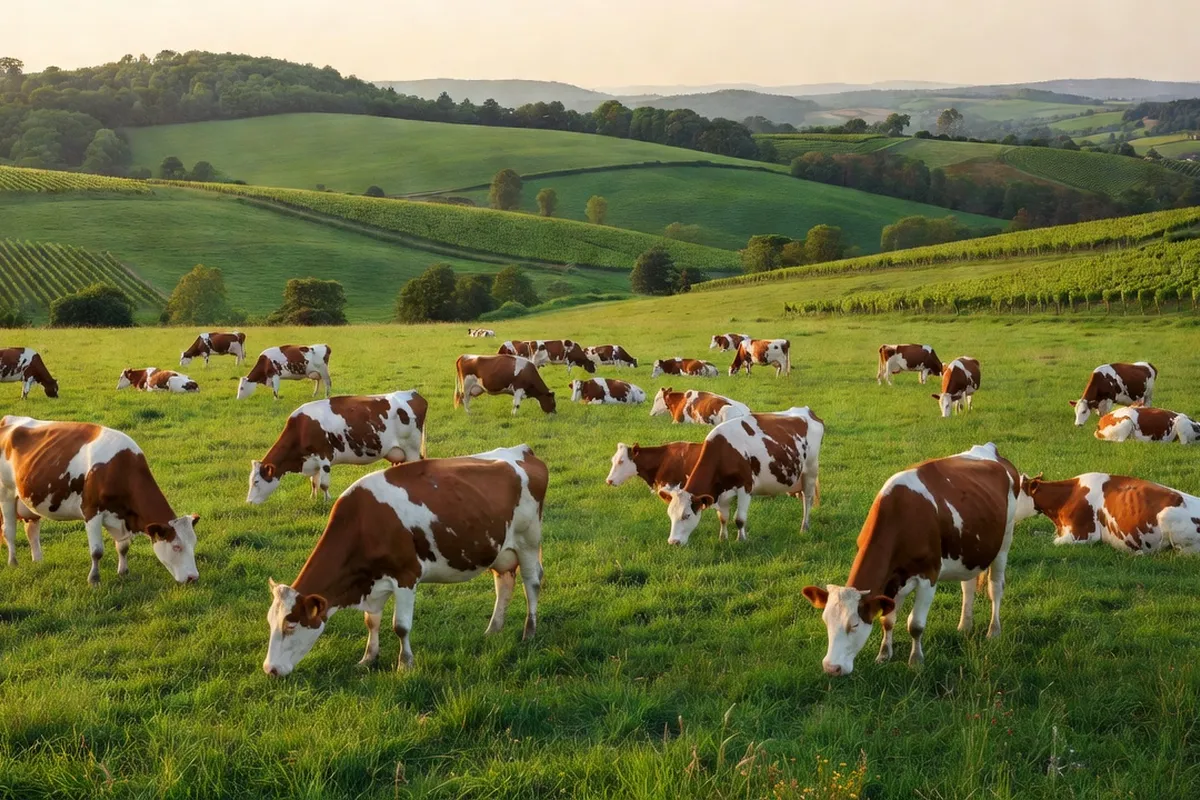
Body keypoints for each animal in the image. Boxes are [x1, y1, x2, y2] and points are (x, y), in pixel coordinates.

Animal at [0, 416, 200, 585]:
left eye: (194, 543)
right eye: (176, 547)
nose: (193, 577)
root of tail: (9, 419)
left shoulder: (121, 517)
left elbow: (123, 547)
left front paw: (123, 572)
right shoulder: (91, 511)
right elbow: (97, 551)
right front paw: (94, 579)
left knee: (32, 530)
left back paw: (38, 561)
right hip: (6, 494)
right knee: (9, 531)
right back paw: (13, 562)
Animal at [248, 390, 428, 504]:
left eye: (256, 481)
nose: (248, 502)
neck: (302, 428)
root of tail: (413, 393)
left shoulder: (324, 456)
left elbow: (323, 484)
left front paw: (327, 501)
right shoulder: (312, 459)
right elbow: (314, 482)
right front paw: (313, 498)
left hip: (412, 448)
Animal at [261, 445, 547, 677]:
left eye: (290, 624)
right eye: (270, 622)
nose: (270, 670)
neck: (365, 521)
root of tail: (522, 451)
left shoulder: (406, 577)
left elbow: (401, 626)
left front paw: (405, 665)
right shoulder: (373, 583)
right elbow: (371, 622)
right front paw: (368, 658)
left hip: (528, 540)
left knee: (531, 582)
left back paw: (530, 632)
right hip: (499, 549)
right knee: (504, 583)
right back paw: (493, 630)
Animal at [658, 407, 824, 545]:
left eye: (686, 515)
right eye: (670, 515)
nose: (673, 542)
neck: (723, 452)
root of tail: (808, 411)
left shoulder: (745, 487)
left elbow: (739, 519)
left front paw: (741, 539)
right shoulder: (722, 492)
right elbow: (723, 518)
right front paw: (723, 538)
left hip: (810, 471)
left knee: (807, 499)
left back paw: (804, 527)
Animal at [802, 443, 1031, 676]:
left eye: (854, 625)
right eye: (826, 621)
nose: (831, 667)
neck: (900, 516)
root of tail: (989, 449)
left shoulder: (928, 576)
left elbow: (916, 625)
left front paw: (916, 661)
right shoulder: (893, 580)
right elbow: (887, 620)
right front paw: (884, 654)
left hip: (1005, 540)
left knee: (996, 587)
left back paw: (994, 631)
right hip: (969, 551)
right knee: (968, 587)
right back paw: (964, 626)